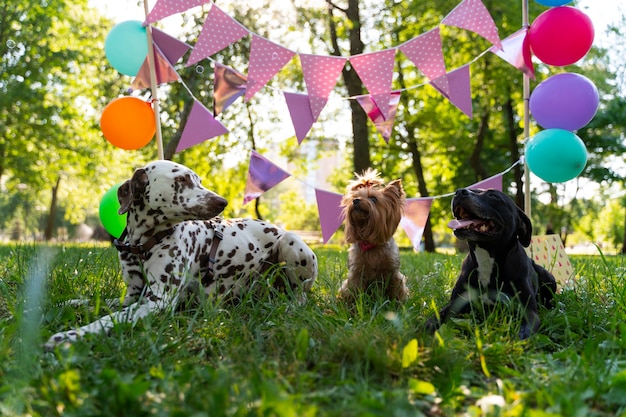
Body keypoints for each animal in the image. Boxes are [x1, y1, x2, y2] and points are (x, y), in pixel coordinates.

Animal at [45, 159, 316, 348]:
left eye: (198, 180)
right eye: (183, 179)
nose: (223, 201)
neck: (143, 244)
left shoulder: (157, 301)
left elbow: (107, 320)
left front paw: (70, 335)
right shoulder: (132, 296)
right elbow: (91, 301)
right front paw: (63, 303)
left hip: (292, 244)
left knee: (301, 296)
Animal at [424, 188, 556, 338]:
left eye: (493, 195)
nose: (459, 191)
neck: (486, 257)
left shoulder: (528, 311)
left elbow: (525, 331)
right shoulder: (455, 303)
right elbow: (434, 318)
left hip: (548, 277)